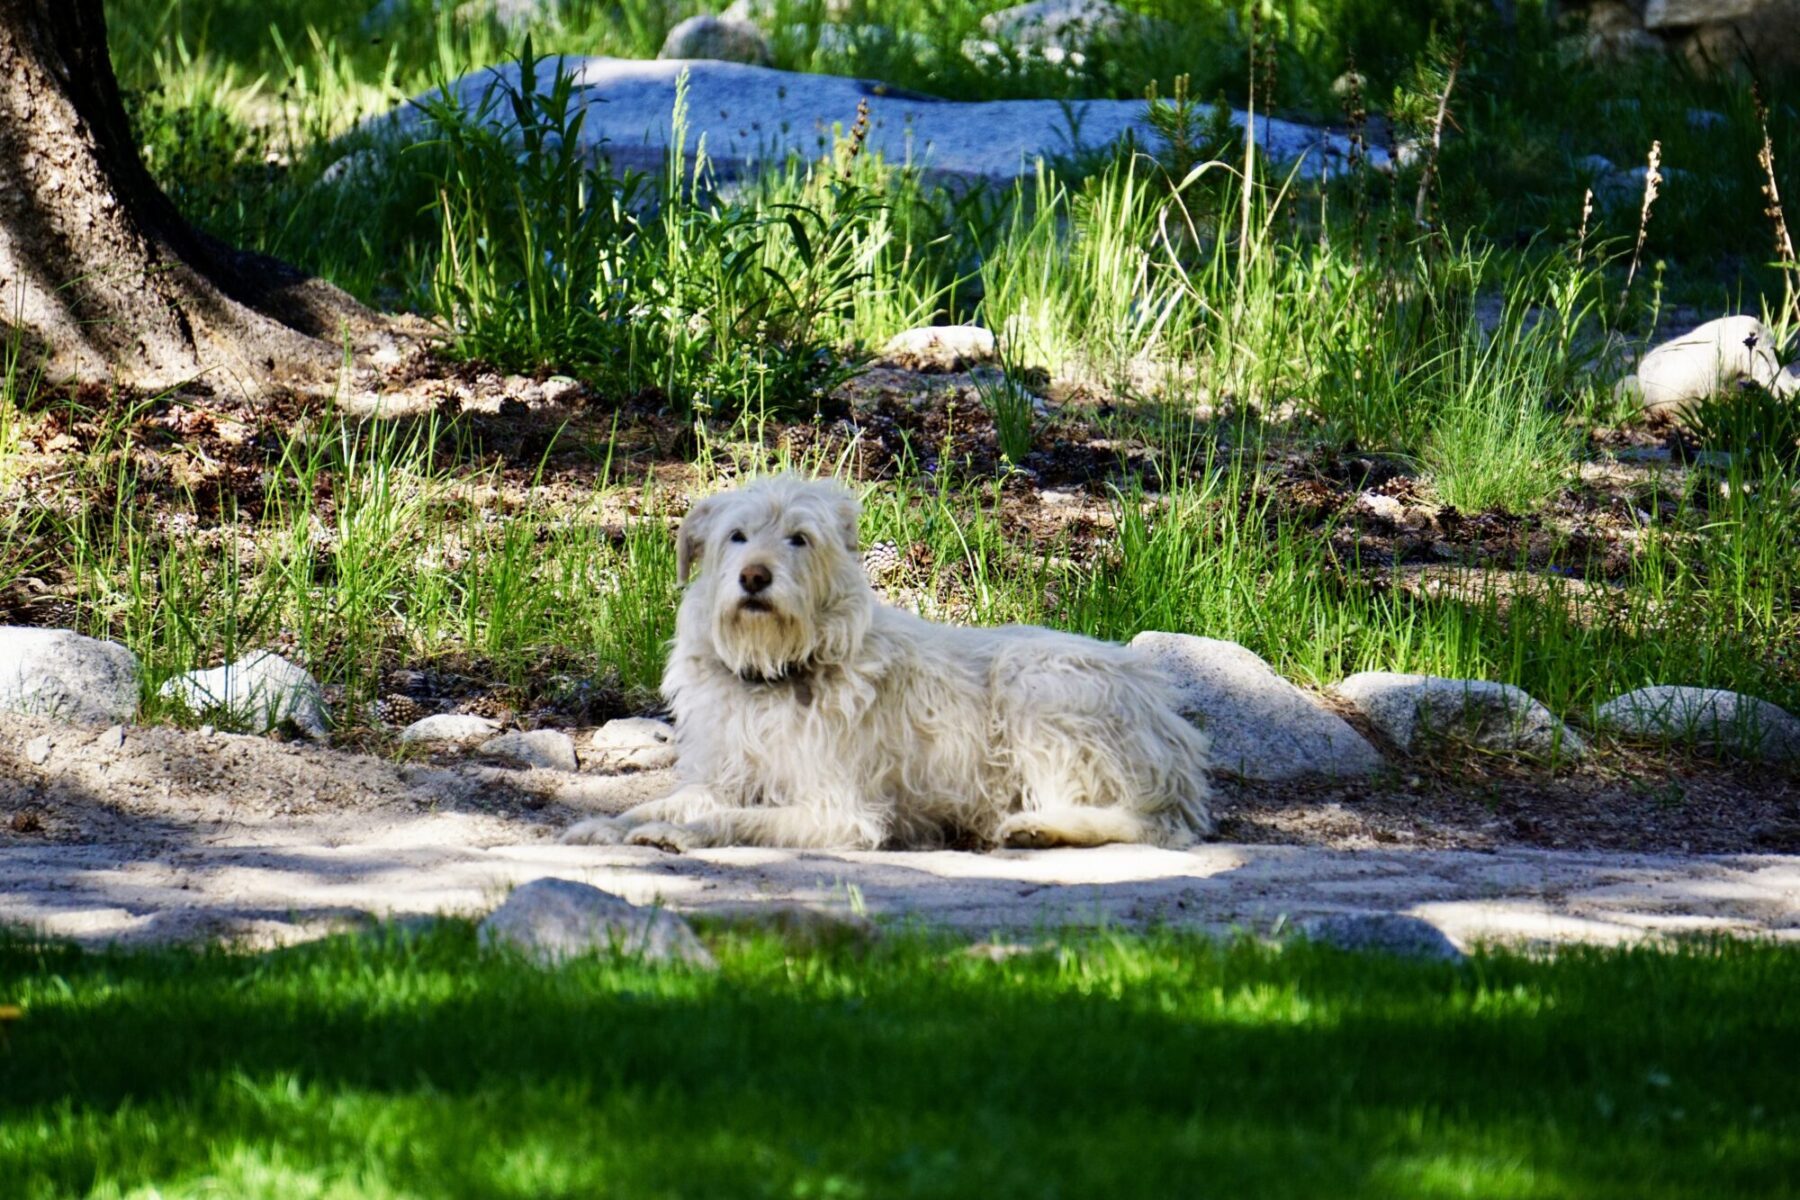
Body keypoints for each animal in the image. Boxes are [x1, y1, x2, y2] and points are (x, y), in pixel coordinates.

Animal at [561, 474, 1209, 849]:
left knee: (1150, 823)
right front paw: (608, 826)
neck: (776, 673)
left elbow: (722, 820)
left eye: (799, 538)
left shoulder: (839, 812)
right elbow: (668, 802)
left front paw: (670, 834)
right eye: (737, 536)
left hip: (1039, 687)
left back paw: (1040, 830)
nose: (754, 577)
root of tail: (1167, 718)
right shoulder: (724, 777)